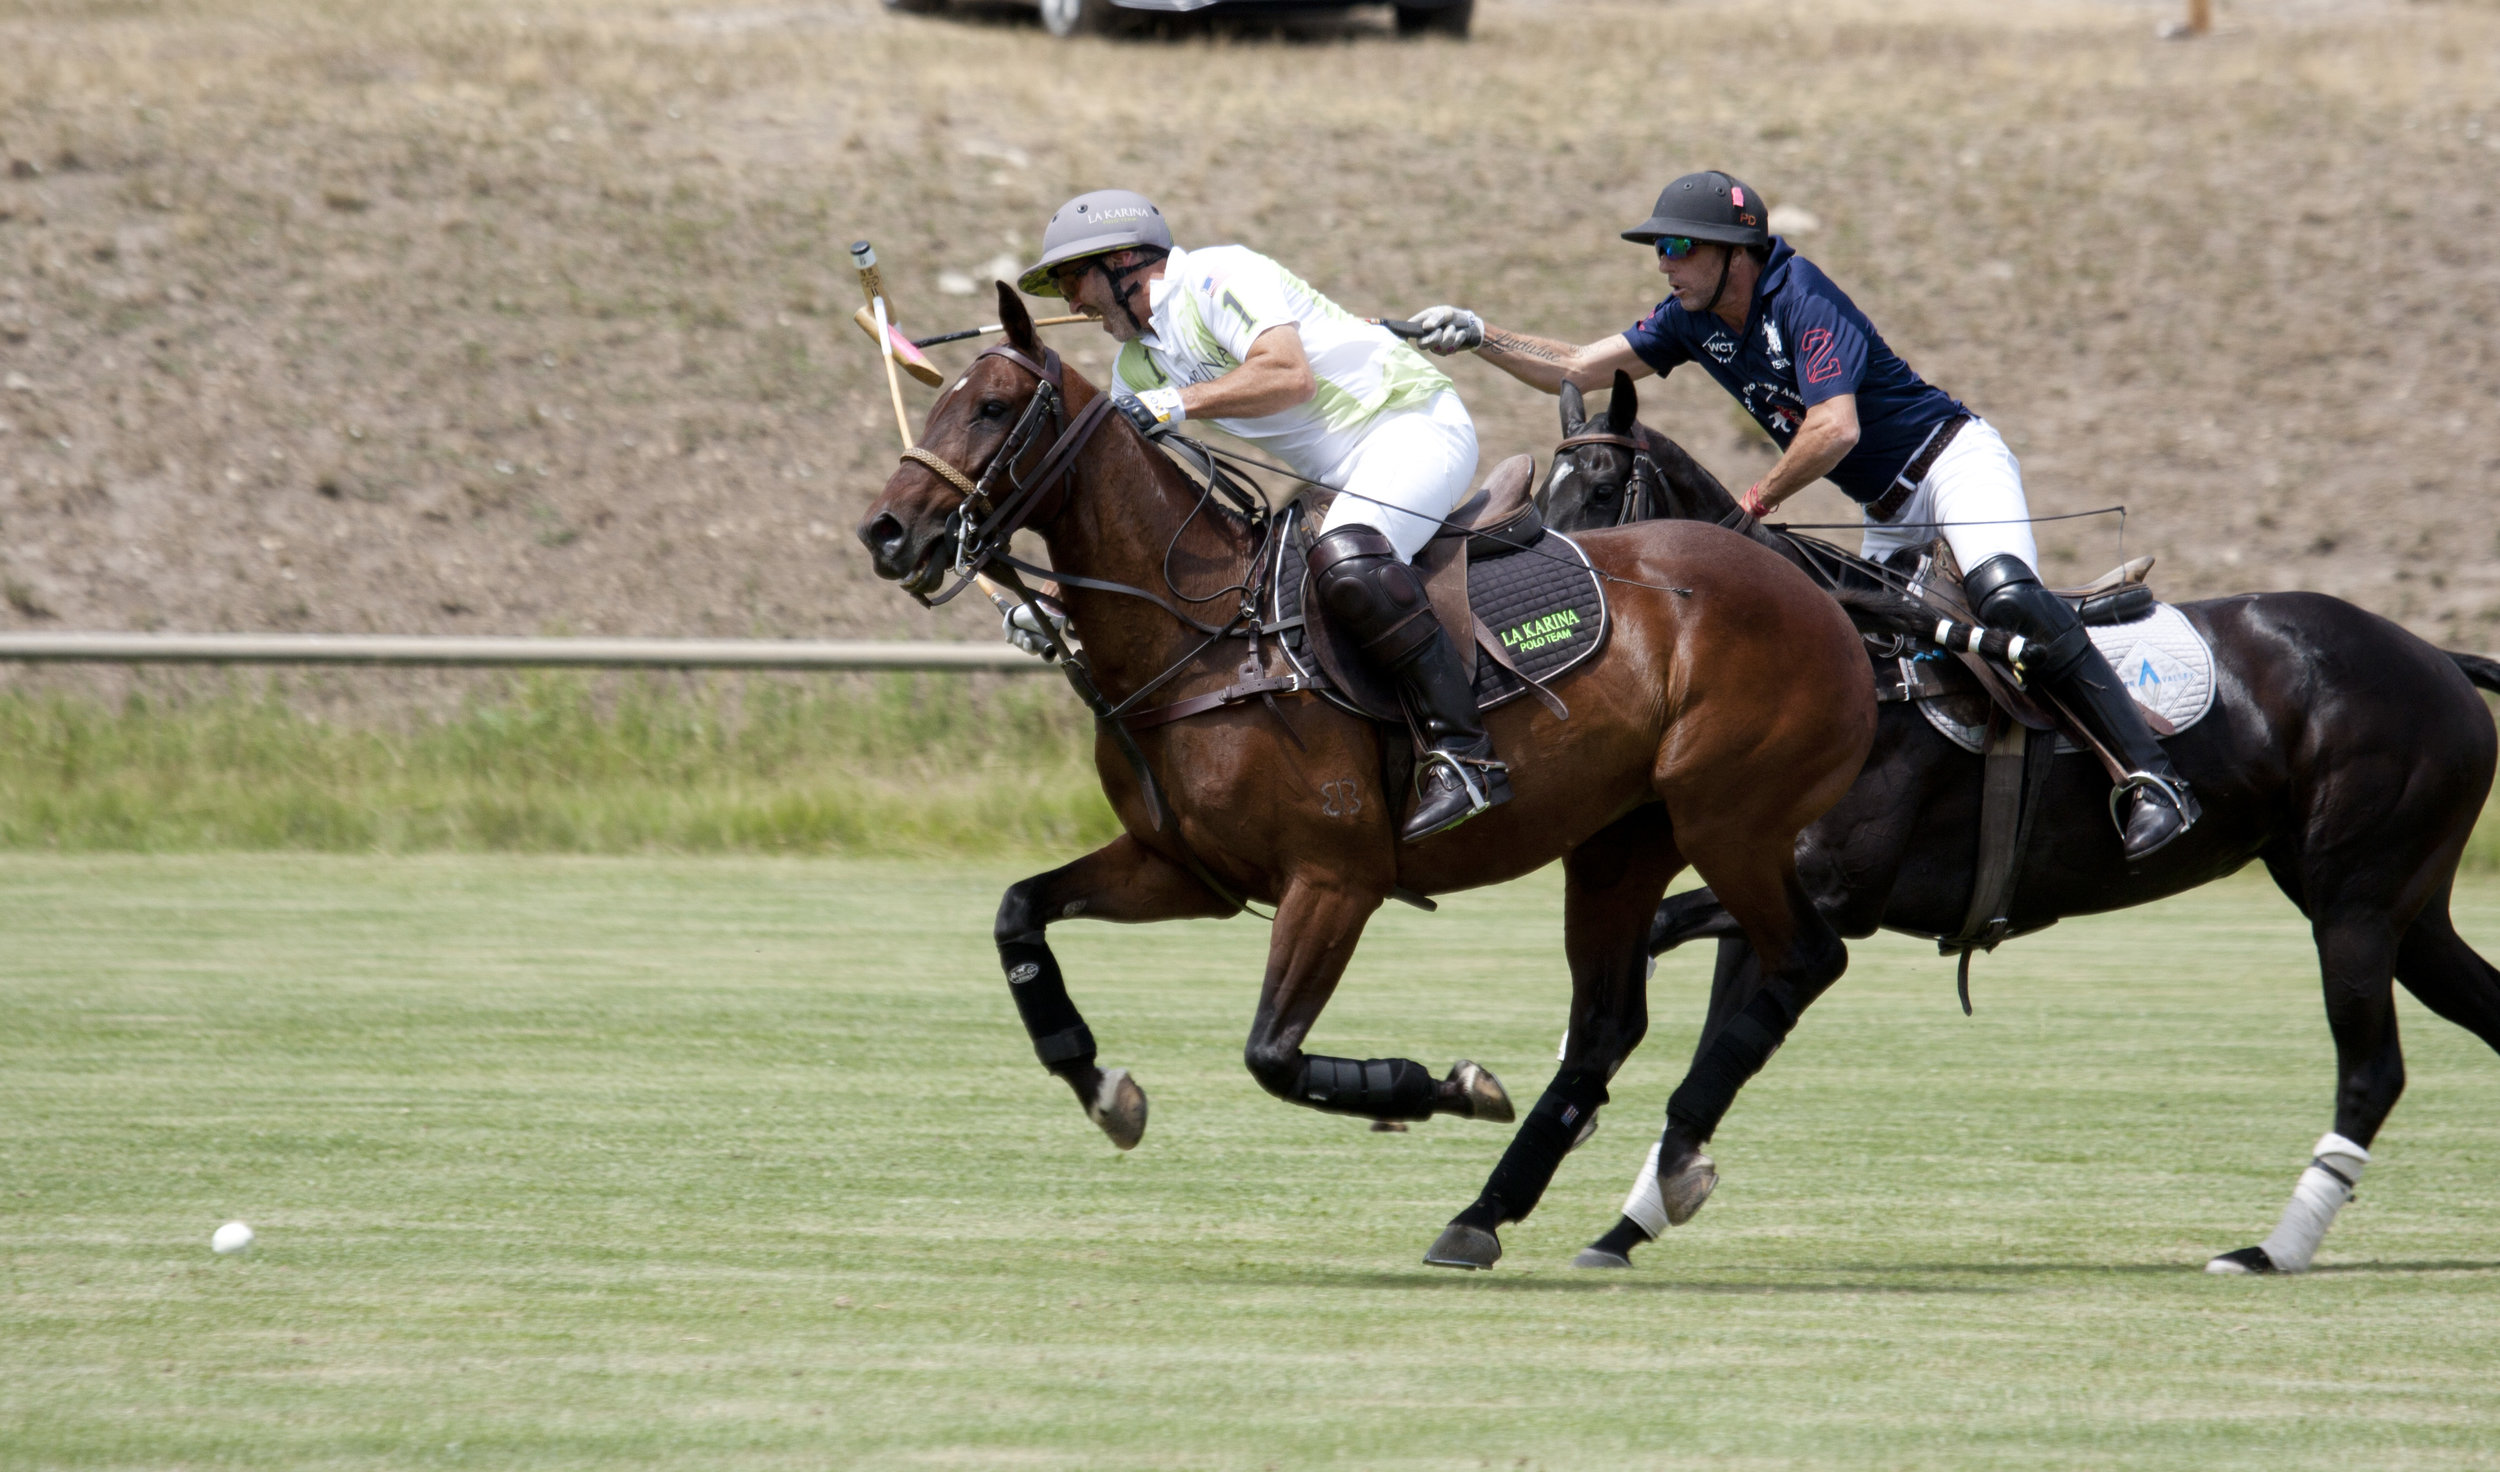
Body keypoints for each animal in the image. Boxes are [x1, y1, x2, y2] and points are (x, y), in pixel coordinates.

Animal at [860, 287, 1880, 1264]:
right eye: (940, 400)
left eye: (992, 406)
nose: (886, 531)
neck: (1204, 638)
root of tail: (1819, 594)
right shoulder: (1184, 870)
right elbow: (1018, 914)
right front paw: (1104, 1088)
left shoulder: (1334, 880)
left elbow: (1272, 1055)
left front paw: (1449, 1086)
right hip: (1618, 845)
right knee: (1607, 1024)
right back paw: (1486, 1217)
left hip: (1729, 820)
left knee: (1805, 958)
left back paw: (1666, 1167)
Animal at [1540, 372, 2500, 1269]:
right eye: (1537, 495)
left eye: (1600, 490)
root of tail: (2435, 656)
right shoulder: (1764, 889)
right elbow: (1703, 1021)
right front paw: (1623, 1206)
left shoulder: (1838, 893)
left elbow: (1669, 953)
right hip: (2402, 910)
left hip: (2354, 905)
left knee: (2371, 1072)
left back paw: (2271, 1249)